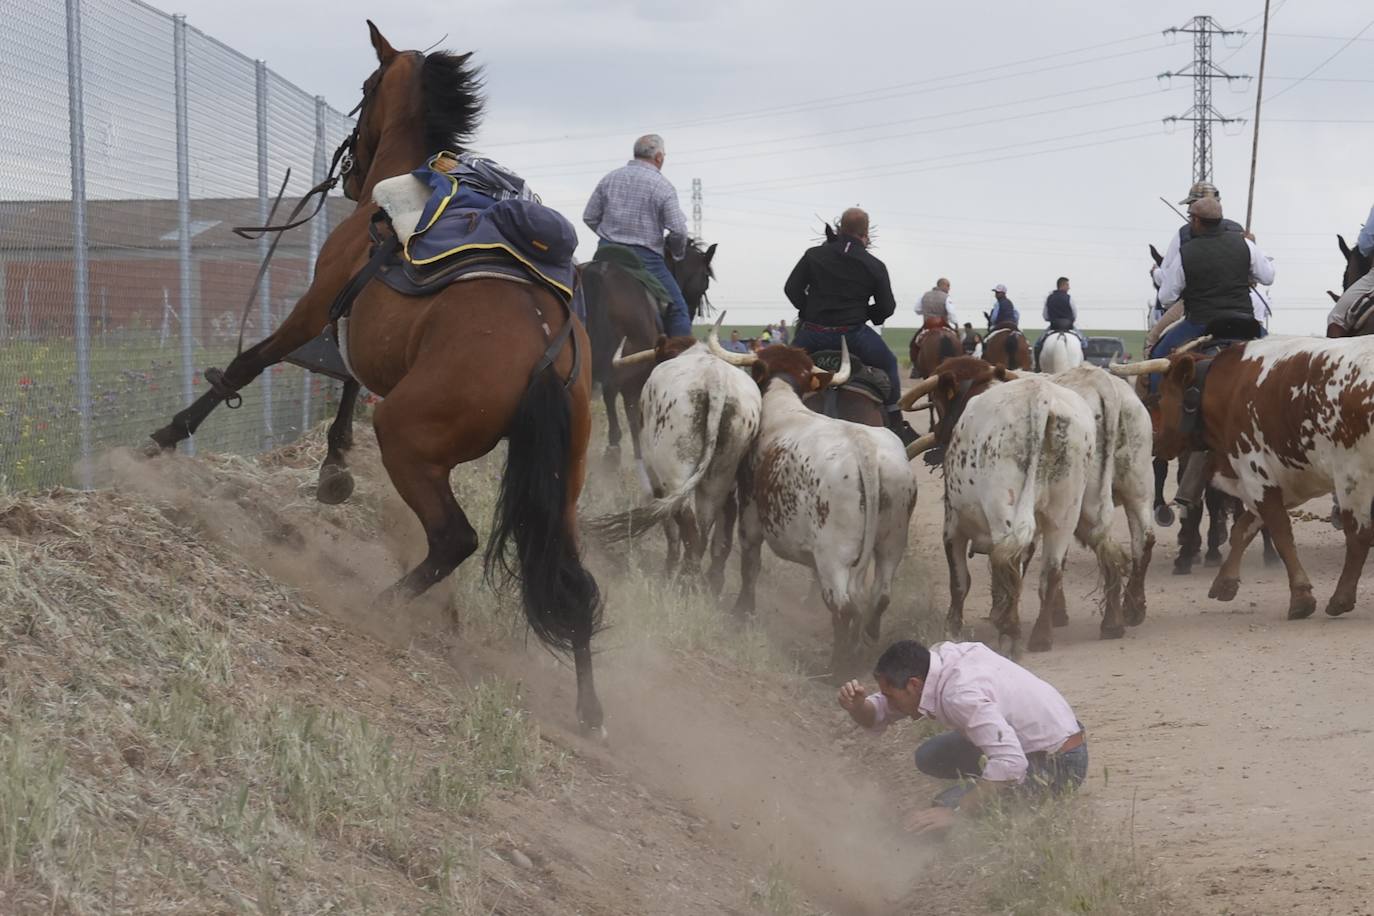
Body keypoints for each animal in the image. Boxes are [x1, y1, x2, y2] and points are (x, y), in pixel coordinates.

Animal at [144, 21, 607, 736]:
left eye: (365, 86)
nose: (349, 170)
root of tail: (543, 345)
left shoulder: (316, 307)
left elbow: (256, 361)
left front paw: (169, 435)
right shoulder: (361, 332)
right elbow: (348, 384)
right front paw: (333, 466)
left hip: (407, 438)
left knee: (454, 538)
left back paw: (383, 603)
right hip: (564, 481)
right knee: (571, 576)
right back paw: (588, 706)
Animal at [708, 321, 912, 672]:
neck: (782, 402)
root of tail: (865, 449)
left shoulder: (749, 512)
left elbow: (750, 564)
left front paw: (742, 612)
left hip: (835, 556)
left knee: (844, 606)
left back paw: (835, 668)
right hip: (891, 543)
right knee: (879, 595)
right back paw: (863, 643)